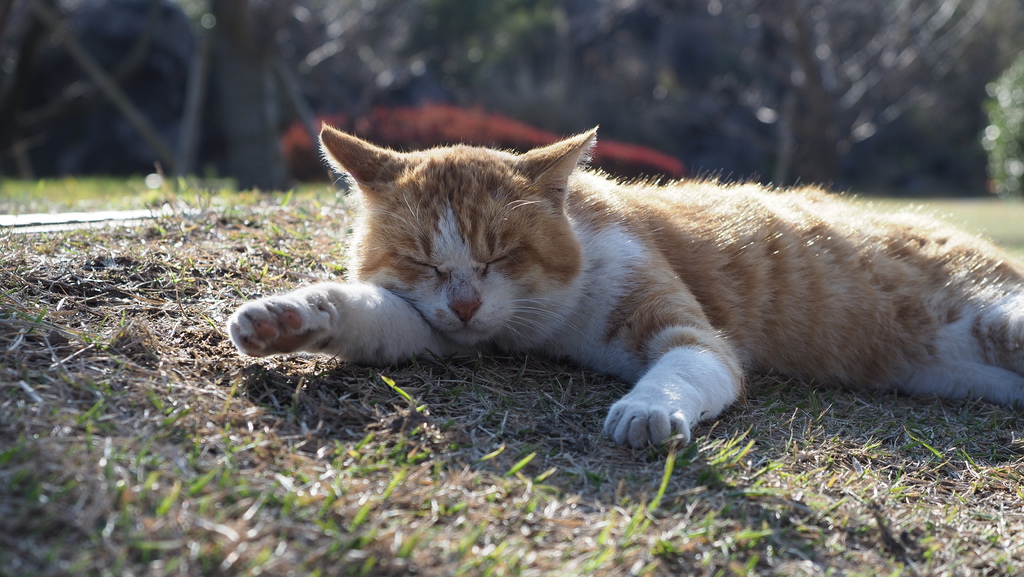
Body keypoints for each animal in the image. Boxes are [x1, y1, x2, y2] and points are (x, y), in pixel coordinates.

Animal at [226, 125, 1024, 450]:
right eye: (425, 263)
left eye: (502, 254)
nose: (467, 303)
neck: (551, 317)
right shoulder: (438, 329)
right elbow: (375, 316)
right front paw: (285, 320)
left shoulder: (690, 333)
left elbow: (680, 369)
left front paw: (644, 410)